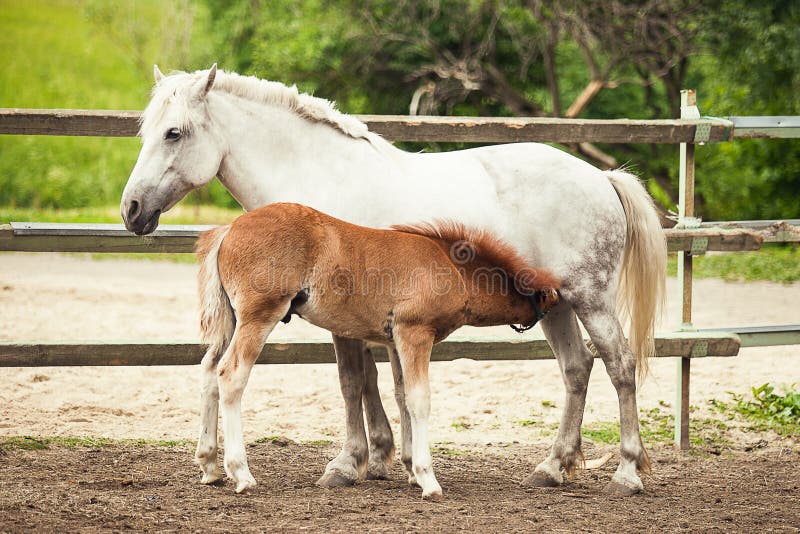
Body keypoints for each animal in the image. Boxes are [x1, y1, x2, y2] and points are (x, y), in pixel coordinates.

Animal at [195, 201, 561, 498]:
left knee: (210, 370)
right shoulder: (415, 332)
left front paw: (412, 471)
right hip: (259, 315)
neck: (452, 266)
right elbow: (419, 399)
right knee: (231, 373)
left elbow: (401, 395)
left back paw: (210, 466)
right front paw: (428, 480)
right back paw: (241, 474)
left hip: (231, 319)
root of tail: (229, 229)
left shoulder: (396, 340)